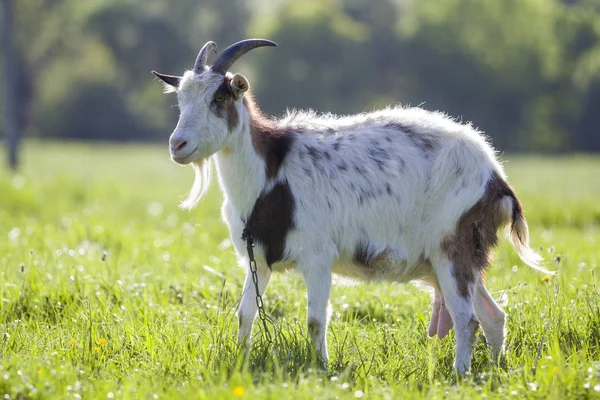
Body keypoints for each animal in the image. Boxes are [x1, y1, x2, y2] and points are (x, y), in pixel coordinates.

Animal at [152, 39, 552, 374]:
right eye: (181, 100)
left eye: (220, 98)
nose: (178, 145)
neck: (269, 171)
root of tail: (497, 180)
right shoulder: (258, 258)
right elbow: (245, 314)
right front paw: (241, 361)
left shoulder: (317, 256)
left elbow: (316, 320)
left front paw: (321, 370)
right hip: (450, 261)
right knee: (493, 315)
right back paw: (495, 370)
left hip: (453, 247)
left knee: (467, 317)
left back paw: (459, 375)